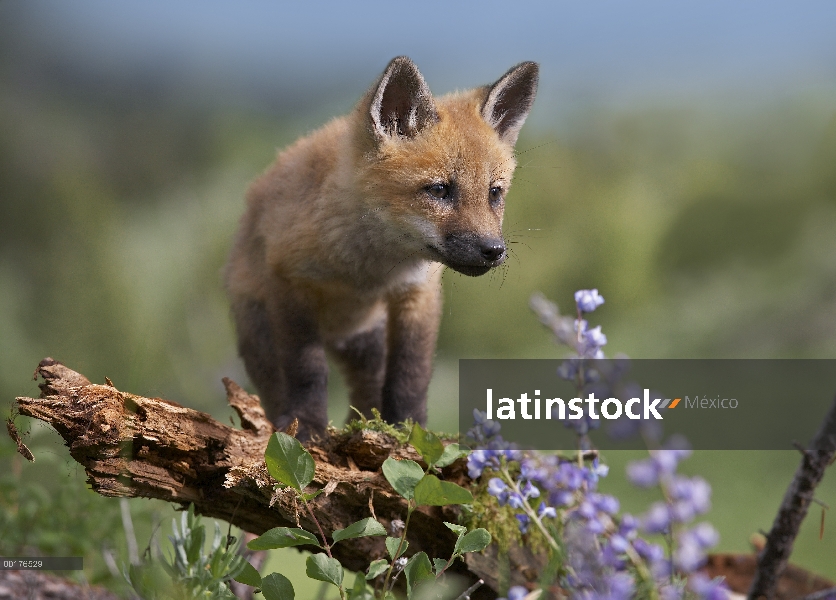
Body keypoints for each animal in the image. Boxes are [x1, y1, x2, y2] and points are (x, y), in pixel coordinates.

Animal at [225, 57, 540, 436]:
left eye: (494, 193)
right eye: (439, 190)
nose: (493, 250)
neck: (367, 271)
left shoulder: (418, 293)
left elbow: (411, 373)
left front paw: (409, 429)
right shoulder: (290, 282)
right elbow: (307, 371)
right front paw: (307, 426)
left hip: (366, 342)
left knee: (368, 388)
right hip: (261, 339)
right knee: (276, 387)